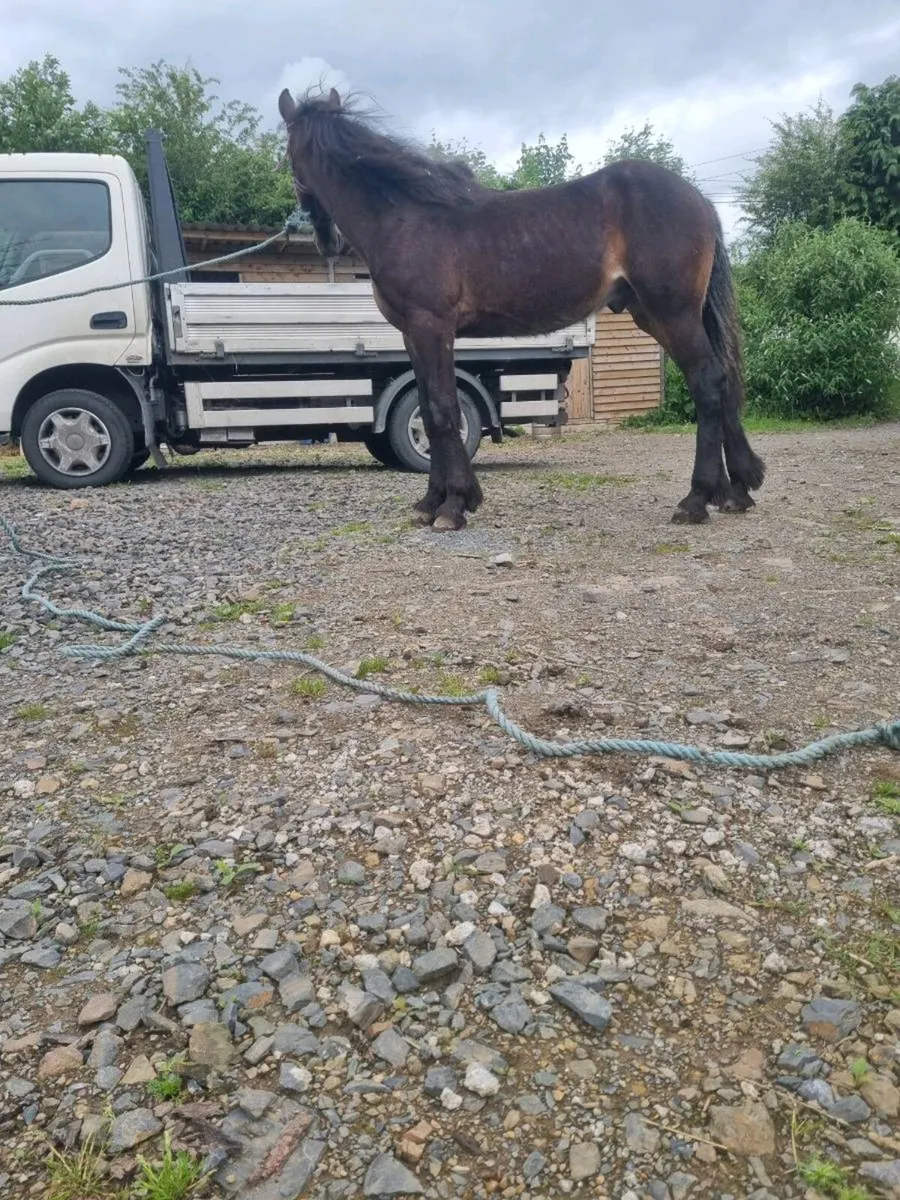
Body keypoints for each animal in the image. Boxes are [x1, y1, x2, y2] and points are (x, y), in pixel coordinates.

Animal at [278, 86, 766, 531]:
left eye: (288, 157)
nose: (326, 243)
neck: (406, 217)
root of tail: (698, 199)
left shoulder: (432, 327)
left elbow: (443, 411)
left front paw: (454, 505)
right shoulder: (410, 335)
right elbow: (430, 413)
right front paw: (431, 502)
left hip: (674, 313)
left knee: (708, 383)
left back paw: (696, 499)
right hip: (655, 315)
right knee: (720, 380)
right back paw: (734, 491)